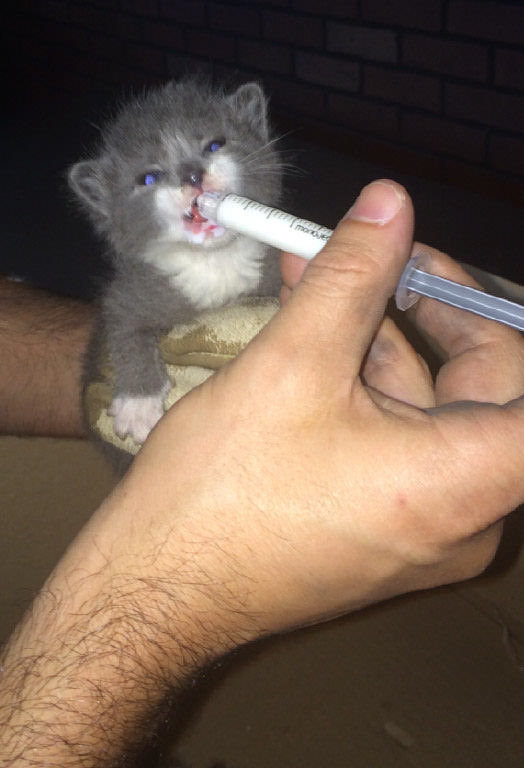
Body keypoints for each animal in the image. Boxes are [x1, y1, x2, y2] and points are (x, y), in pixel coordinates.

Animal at [70, 78, 282, 464]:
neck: (214, 261)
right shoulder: (129, 291)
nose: (192, 174)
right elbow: (124, 328)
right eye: (148, 178)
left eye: (214, 144)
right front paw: (137, 405)